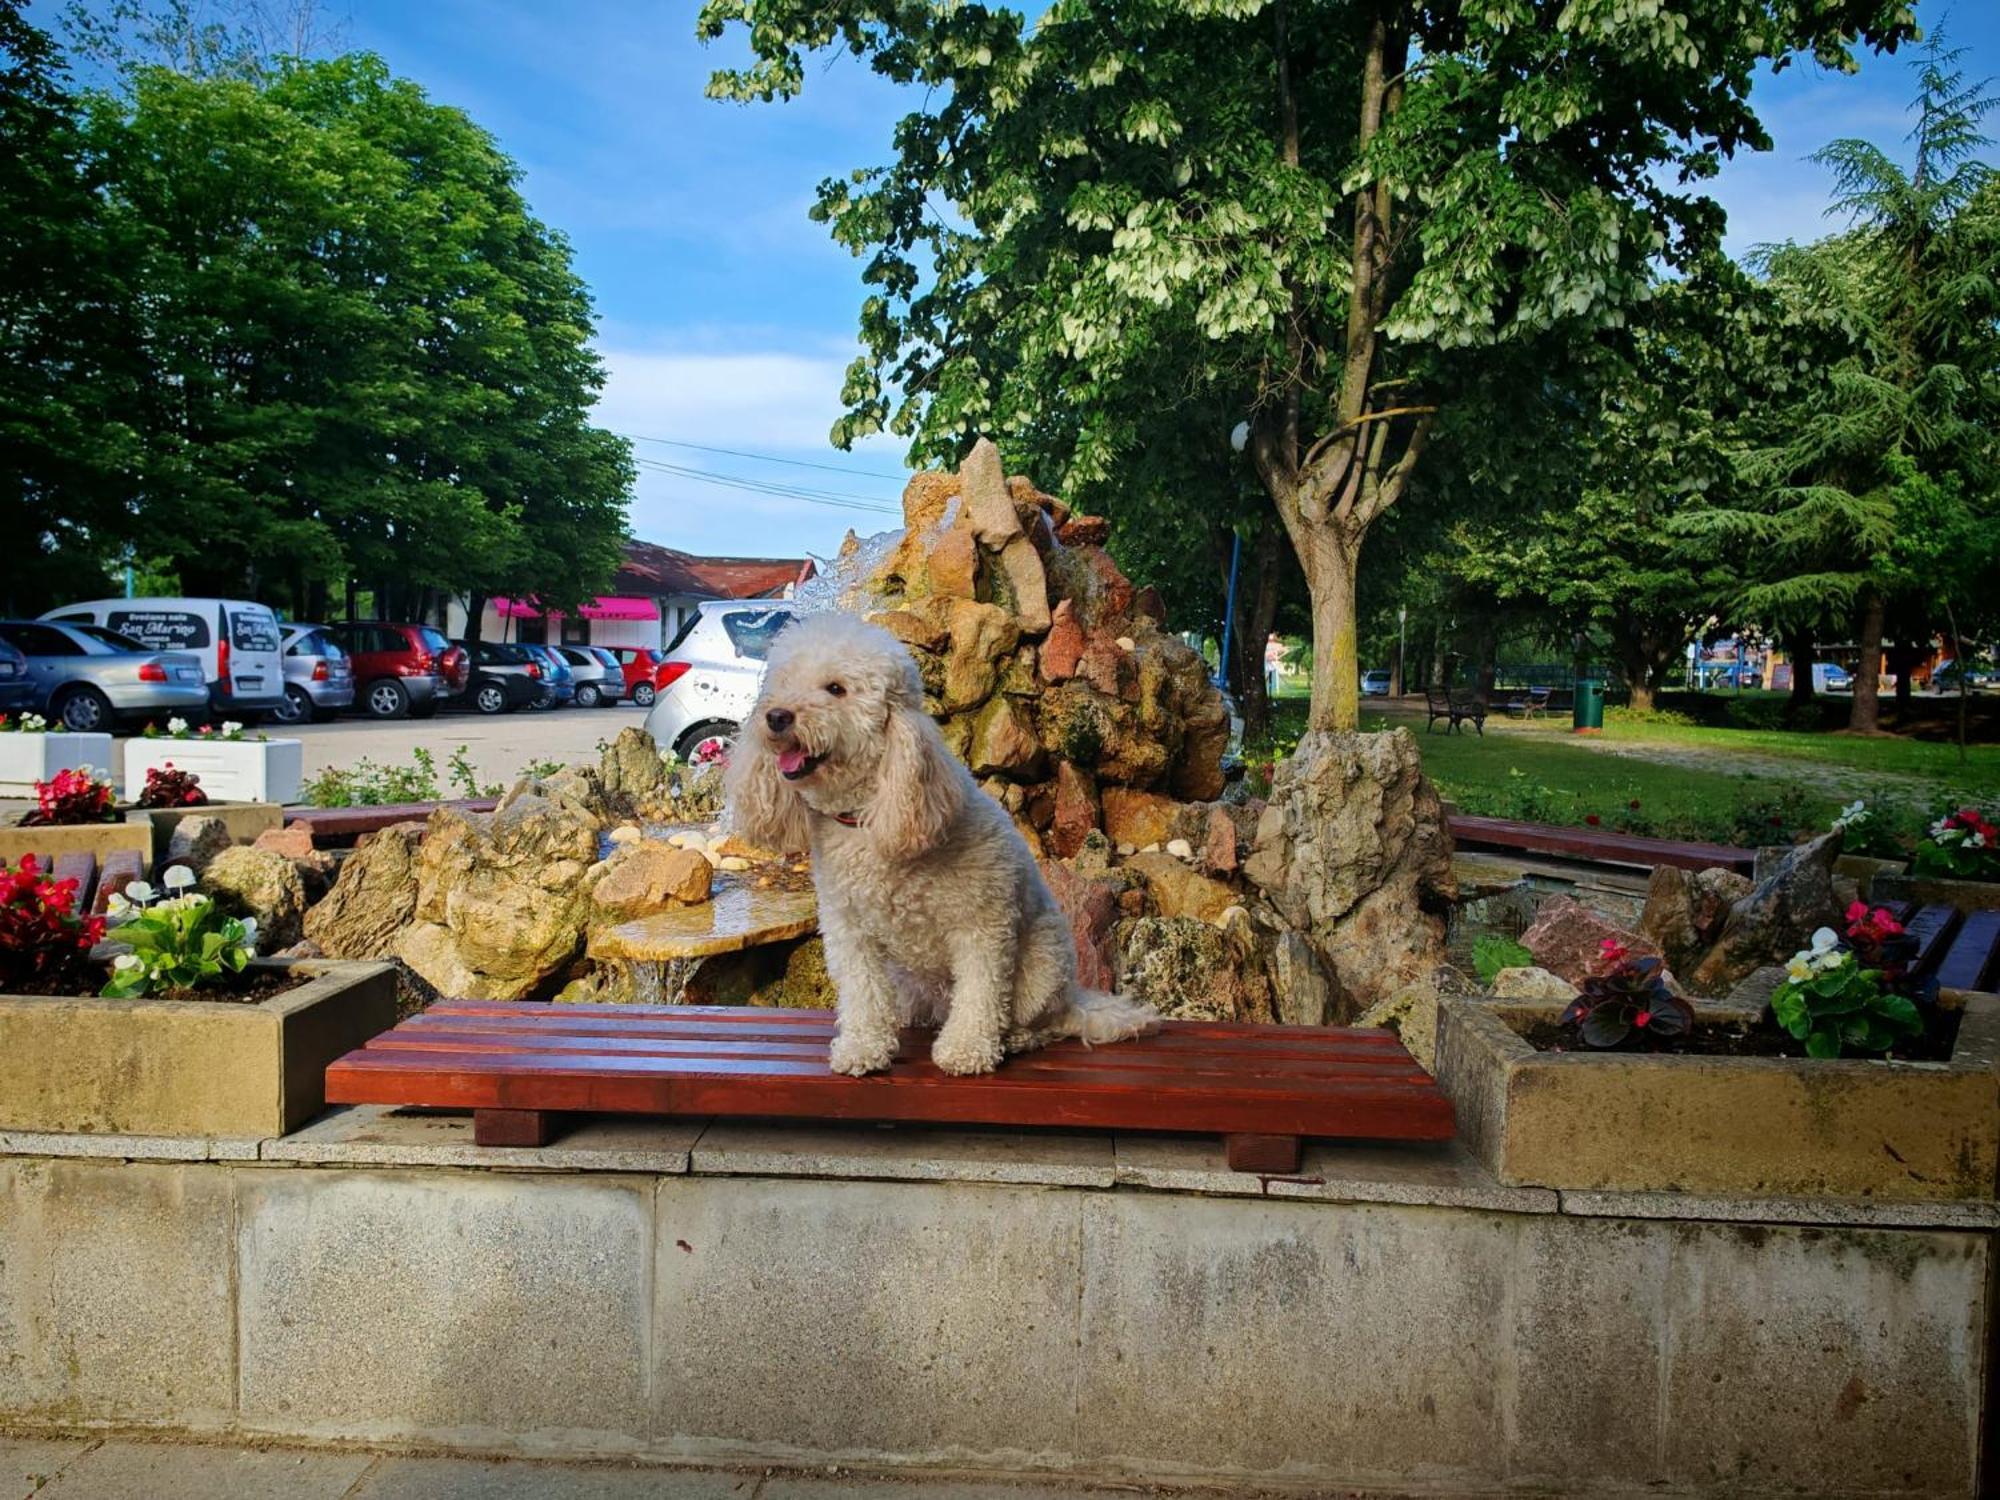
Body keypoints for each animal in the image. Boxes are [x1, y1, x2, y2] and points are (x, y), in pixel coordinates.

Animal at [724, 612, 1160, 1080]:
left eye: (836, 689)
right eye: (783, 683)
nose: (776, 716)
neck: (868, 816)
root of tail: (1073, 995)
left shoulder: (982, 925)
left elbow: (981, 994)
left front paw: (966, 1050)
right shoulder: (849, 930)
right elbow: (862, 993)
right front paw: (863, 1047)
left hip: (1041, 967)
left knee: (1041, 1020)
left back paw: (1017, 1037)